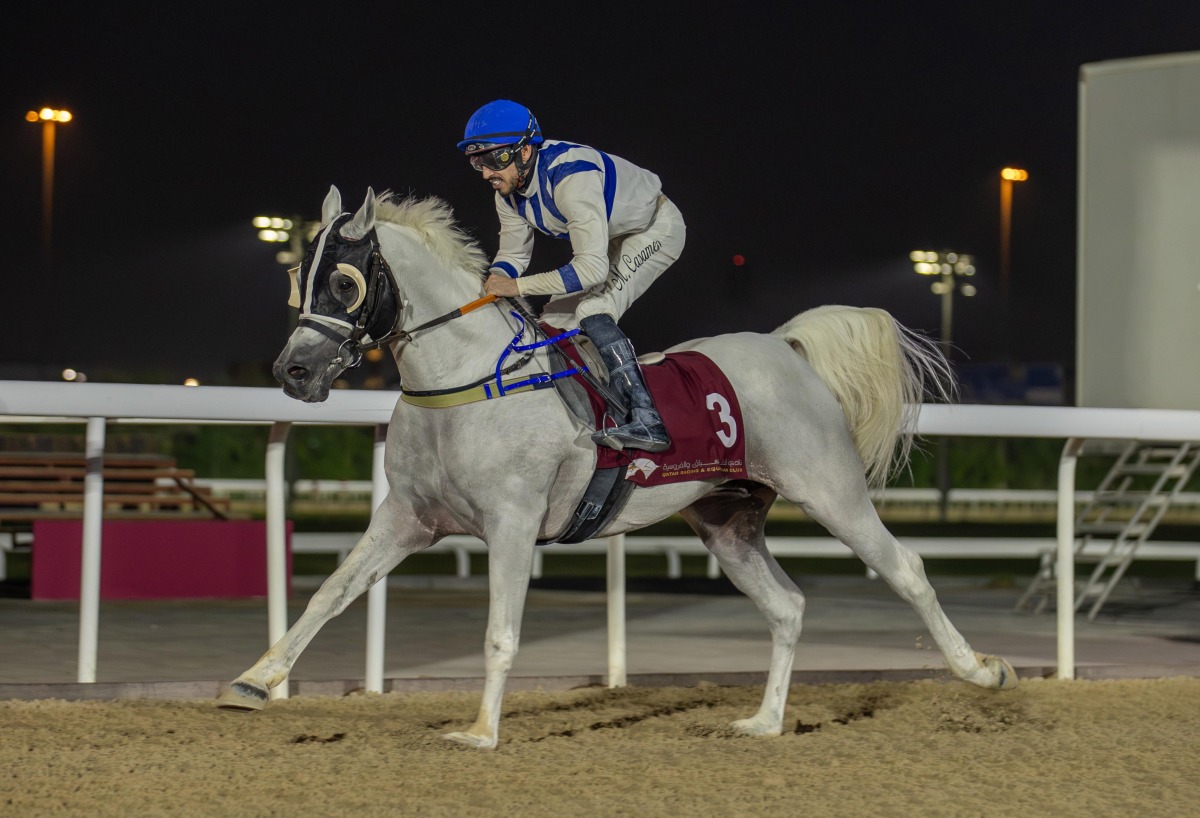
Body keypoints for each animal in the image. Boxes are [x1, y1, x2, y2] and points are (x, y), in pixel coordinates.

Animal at [217, 185, 1017, 748]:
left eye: (345, 283)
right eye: (297, 277)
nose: (293, 371)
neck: (466, 382)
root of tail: (787, 348)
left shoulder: (512, 523)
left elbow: (499, 632)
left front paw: (479, 732)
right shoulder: (407, 518)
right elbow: (330, 593)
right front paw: (251, 682)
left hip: (830, 490)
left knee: (906, 569)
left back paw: (984, 670)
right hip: (727, 521)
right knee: (787, 605)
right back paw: (763, 722)